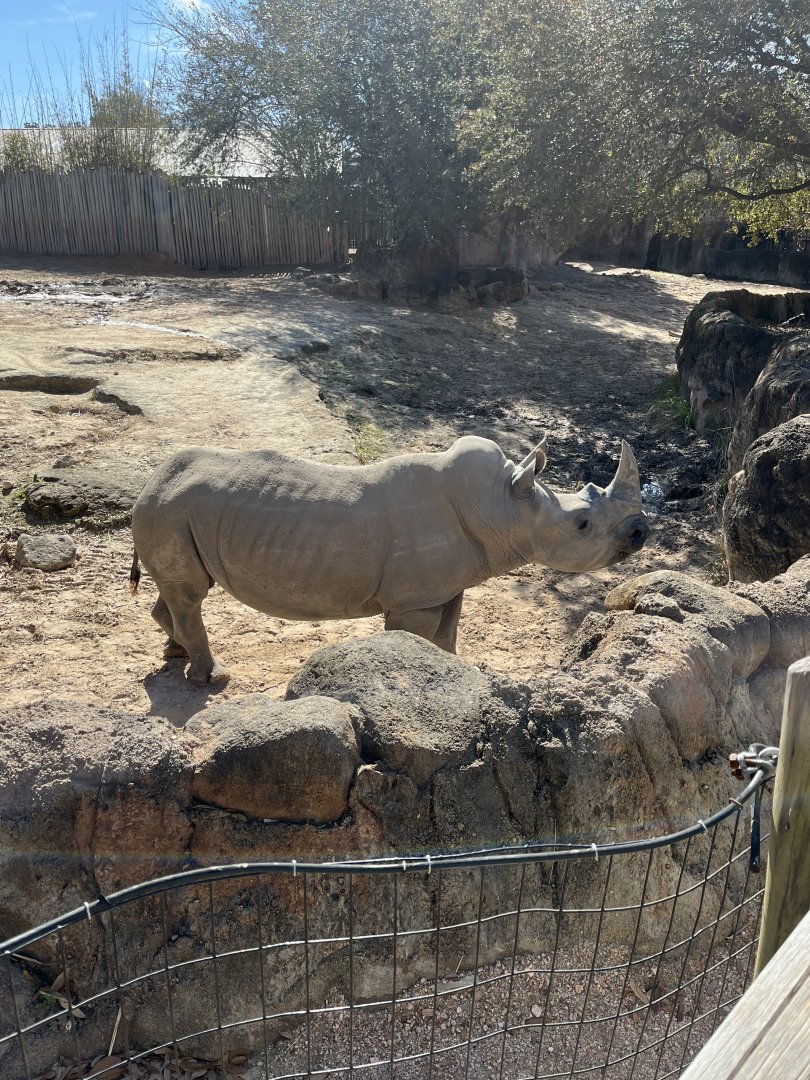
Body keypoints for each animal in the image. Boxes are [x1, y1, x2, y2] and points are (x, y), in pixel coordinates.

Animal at [130, 435, 649, 685]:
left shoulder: (447, 586)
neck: (504, 507)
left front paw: (455, 675)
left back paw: (176, 653)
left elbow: (447, 635)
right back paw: (211, 679)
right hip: (171, 509)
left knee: (181, 592)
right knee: (189, 594)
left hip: (175, 511)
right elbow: (417, 639)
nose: (642, 531)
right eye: (582, 524)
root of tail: (149, 481)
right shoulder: (412, 600)